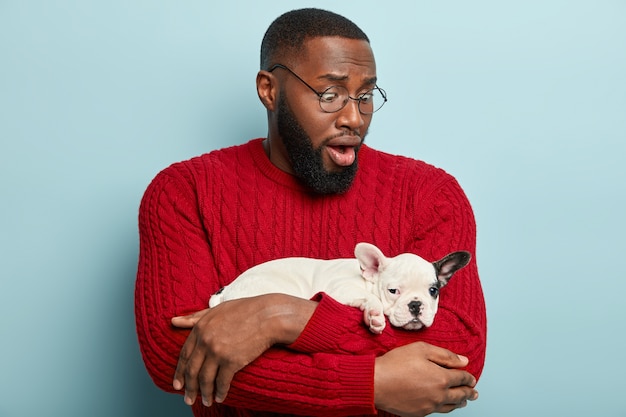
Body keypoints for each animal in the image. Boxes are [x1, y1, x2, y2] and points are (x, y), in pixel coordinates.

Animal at [210, 242, 468, 334]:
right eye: (393, 291)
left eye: (433, 291)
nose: (416, 305)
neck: (367, 279)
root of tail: (226, 291)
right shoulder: (341, 289)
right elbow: (370, 299)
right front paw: (374, 316)